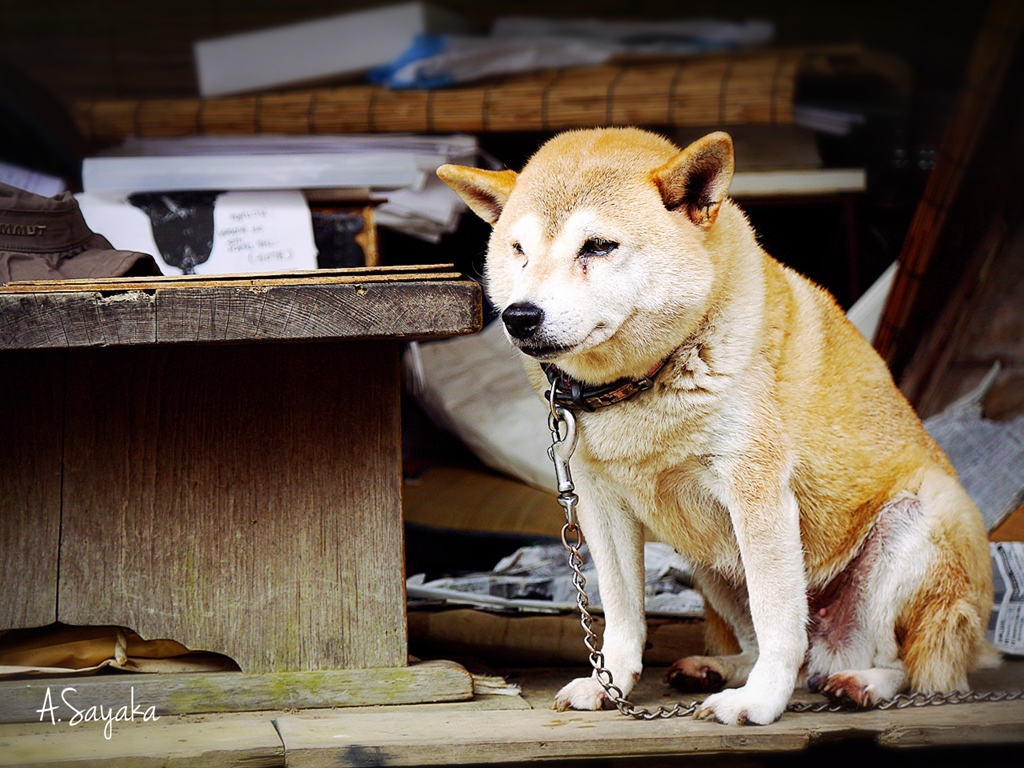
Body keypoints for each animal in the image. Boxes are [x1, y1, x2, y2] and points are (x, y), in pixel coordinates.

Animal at [438, 131, 991, 729]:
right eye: (519, 249)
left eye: (598, 247)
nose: (520, 315)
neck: (641, 386)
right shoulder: (598, 502)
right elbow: (622, 614)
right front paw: (609, 684)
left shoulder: (758, 493)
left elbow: (779, 621)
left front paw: (760, 702)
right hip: (707, 561)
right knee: (781, 652)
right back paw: (718, 669)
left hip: (915, 526)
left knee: (903, 666)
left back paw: (860, 683)